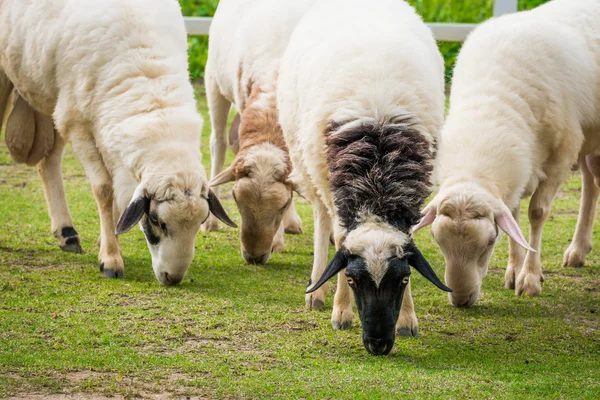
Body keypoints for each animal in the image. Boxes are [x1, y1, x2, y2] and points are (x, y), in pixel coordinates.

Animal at [0, 0, 234, 284]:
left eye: (201, 222)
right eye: (156, 220)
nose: (173, 277)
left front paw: (108, 237)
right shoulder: (79, 124)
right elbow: (104, 189)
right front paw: (110, 259)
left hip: (53, 96)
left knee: (49, 162)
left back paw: (67, 233)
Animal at [202, 0, 316, 264]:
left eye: (283, 204)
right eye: (235, 199)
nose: (254, 257)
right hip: (213, 81)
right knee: (218, 143)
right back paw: (211, 222)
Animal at [278, 0, 452, 354]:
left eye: (403, 279)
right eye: (352, 279)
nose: (378, 344)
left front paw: (407, 319)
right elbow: (340, 237)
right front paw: (341, 311)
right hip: (307, 162)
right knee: (322, 221)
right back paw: (317, 291)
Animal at [412, 0, 600, 308]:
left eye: (490, 241)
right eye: (438, 242)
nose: (461, 300)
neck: (492, 104)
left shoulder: (562, 153)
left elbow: (537, 213)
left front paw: (530, 278)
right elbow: (513, 213)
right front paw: (513, 269)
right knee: (591, 184)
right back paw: (578, 250)